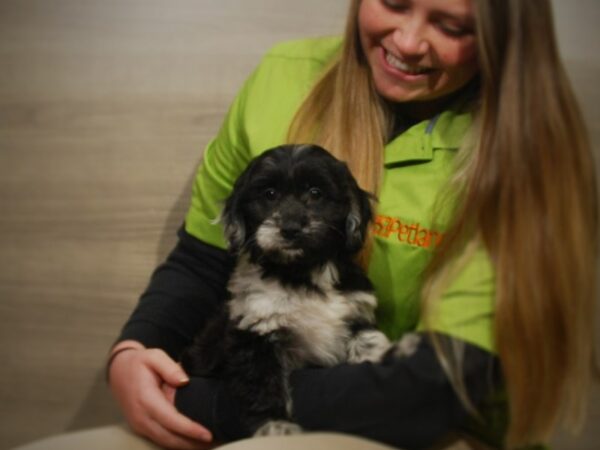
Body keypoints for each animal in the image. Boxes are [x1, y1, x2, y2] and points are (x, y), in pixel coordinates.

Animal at [180, 145, 392, 440]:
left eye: (315, 192)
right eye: (269, 194)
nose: (291, 228)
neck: (301, 272)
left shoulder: (356, 311)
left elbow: (366, 338)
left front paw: (377, 356)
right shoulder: (256, 330)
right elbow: (262, 383)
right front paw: (276, 426)